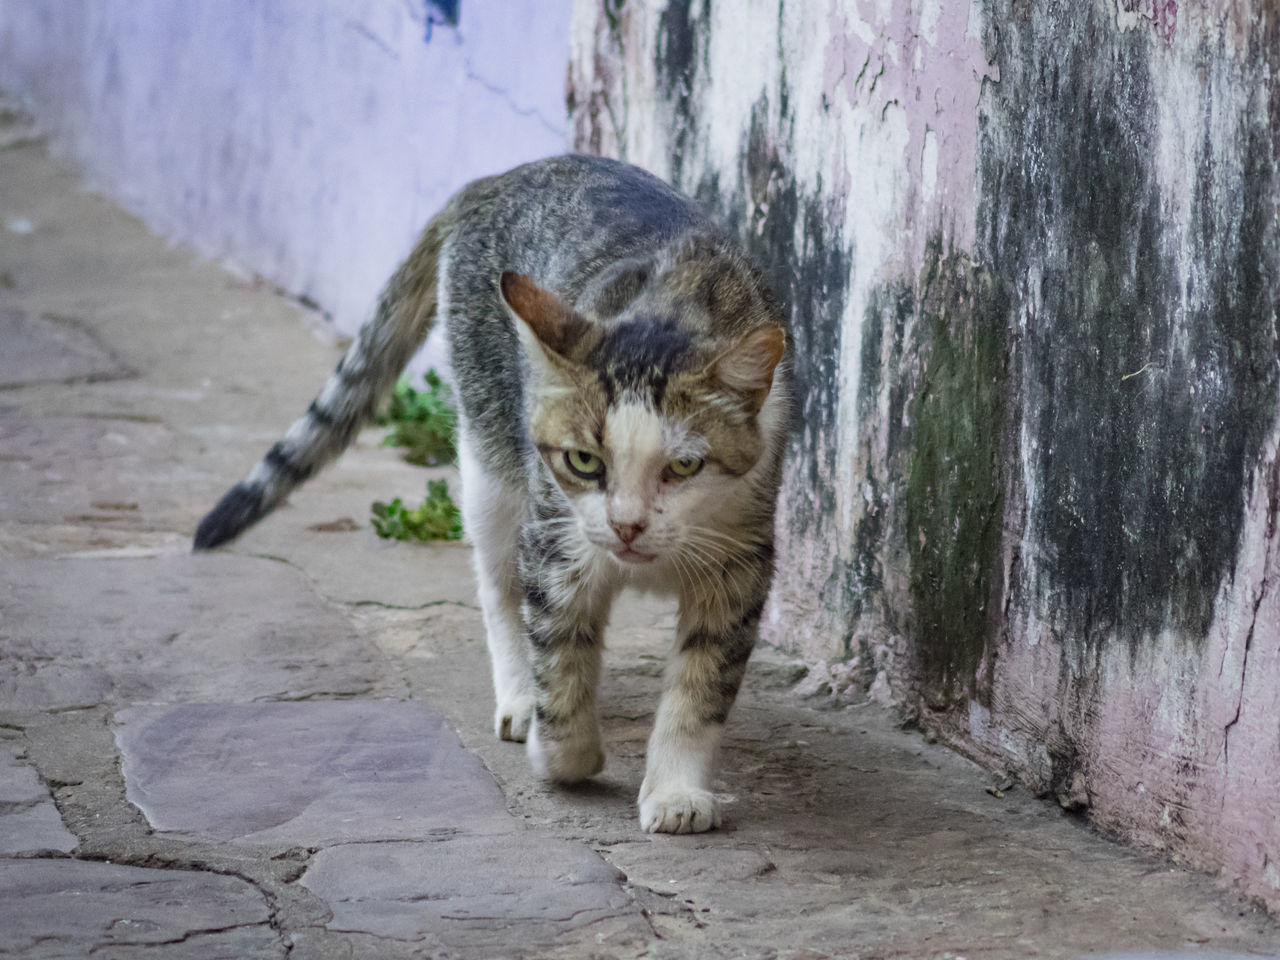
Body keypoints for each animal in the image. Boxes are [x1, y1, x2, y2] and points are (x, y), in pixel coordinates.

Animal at [193, 156, 783, 834]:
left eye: (684, 466)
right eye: (584, 461)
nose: (627, 525)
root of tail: (498, 178)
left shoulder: (741, 558)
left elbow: (701, 686)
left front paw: (677, 792)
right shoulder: (556, 539)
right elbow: (559, 654)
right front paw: (562, 751)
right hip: (491, 460)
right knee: (497, 581)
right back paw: (520, 696)